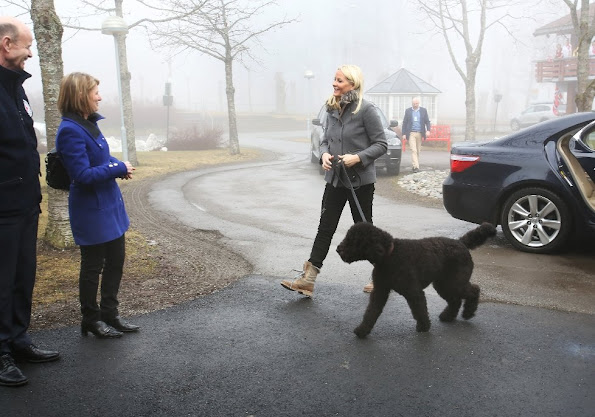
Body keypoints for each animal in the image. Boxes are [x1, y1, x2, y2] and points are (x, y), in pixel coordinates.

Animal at [336, 223, 498, 336]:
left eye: (353, 240)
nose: (338, 249)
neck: (390, 255)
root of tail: (461, 242)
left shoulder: (414, 292)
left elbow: (419, 310)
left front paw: (424, 327)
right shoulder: (380, 291)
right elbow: (371, 312)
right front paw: (362, 330)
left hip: (455, 283)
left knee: (474, 290)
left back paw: (468, 313)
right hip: (444, 284)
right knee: (455, 300)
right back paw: (448, 316)